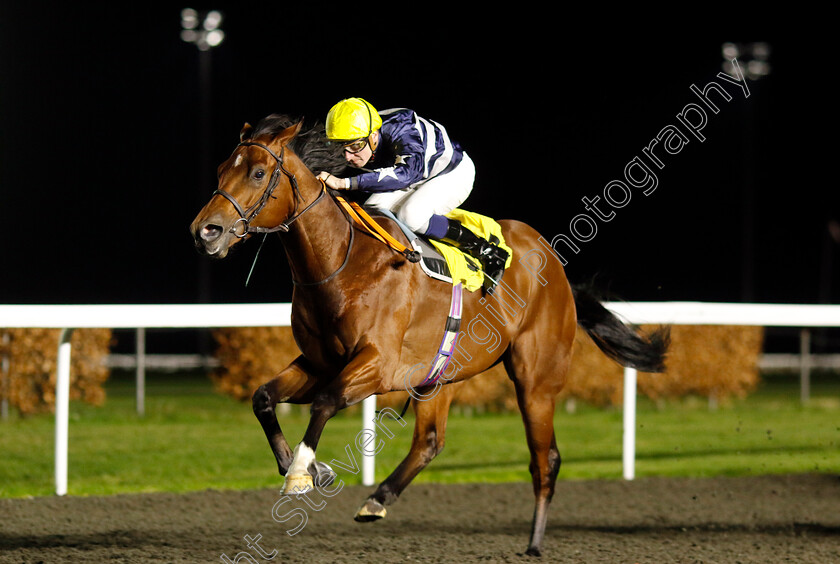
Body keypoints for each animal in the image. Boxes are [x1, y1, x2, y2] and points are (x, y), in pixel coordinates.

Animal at [190, 113, 668, 556]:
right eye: (221, 169)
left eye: (257, 173)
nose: (205, 231)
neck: (342, 263)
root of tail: (550, 257)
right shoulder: (320, 362)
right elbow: (264, 398)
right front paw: (308, 469)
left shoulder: (378, 365)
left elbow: (325, 401)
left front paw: (302, 473)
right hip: (440, 372)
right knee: (430, 442)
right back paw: (378, 499)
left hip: (536, 379)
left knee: (544, 458)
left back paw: (534, 544)